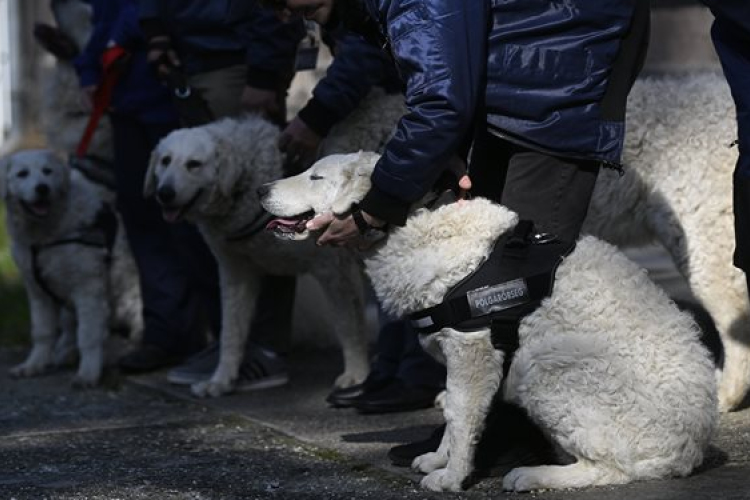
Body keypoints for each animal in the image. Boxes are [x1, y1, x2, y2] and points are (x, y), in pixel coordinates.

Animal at [1, 150, 142, 384]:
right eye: (22, 174)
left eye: (47, 171)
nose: (42, 188)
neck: (44, 237)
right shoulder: (38, 293)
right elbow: (42, 332)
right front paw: (33, 365)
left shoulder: (89, 290)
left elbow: (88, 336)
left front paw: (88, 374)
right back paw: (65, 354)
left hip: (128, 303)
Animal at [144, 116, 370, 398]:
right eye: (165, 161)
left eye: (193, 164)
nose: (165, 193)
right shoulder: (234, 271)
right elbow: (231, 331)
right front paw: (221, 380)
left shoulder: (335, 270)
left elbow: (348, 324)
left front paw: (356, 374)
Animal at [262, 152, 720, 492]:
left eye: (315, 176)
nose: (261, 190)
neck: (415, 224)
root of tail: (689, 449)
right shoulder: (459, 354)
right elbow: (452, 411)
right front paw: (440, 459)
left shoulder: (472, 347)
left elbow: (462, 416)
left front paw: (451, 477)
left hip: (547, 366)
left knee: (612, 468)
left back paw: (534, 475)